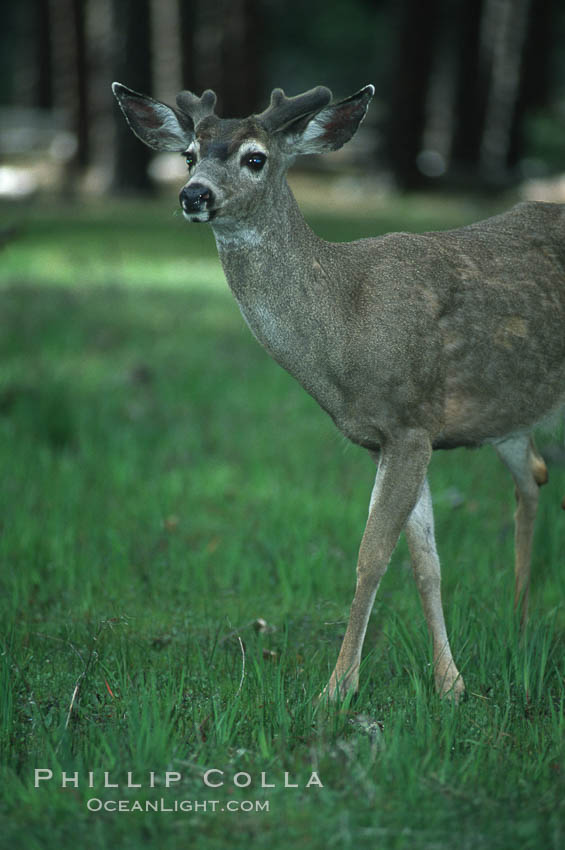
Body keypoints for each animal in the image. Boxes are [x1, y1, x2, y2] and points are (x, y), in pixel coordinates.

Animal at [111, 79, 564, 704]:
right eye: (188, 155)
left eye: (256, 157)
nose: (193, 194)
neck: (348, 323)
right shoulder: (391, 437)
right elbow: (425, 561)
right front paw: (450, 683)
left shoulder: (411, 420)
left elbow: (372, 557)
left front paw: (337, 688)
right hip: (510, 414)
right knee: (533, 477)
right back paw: (519, 623)